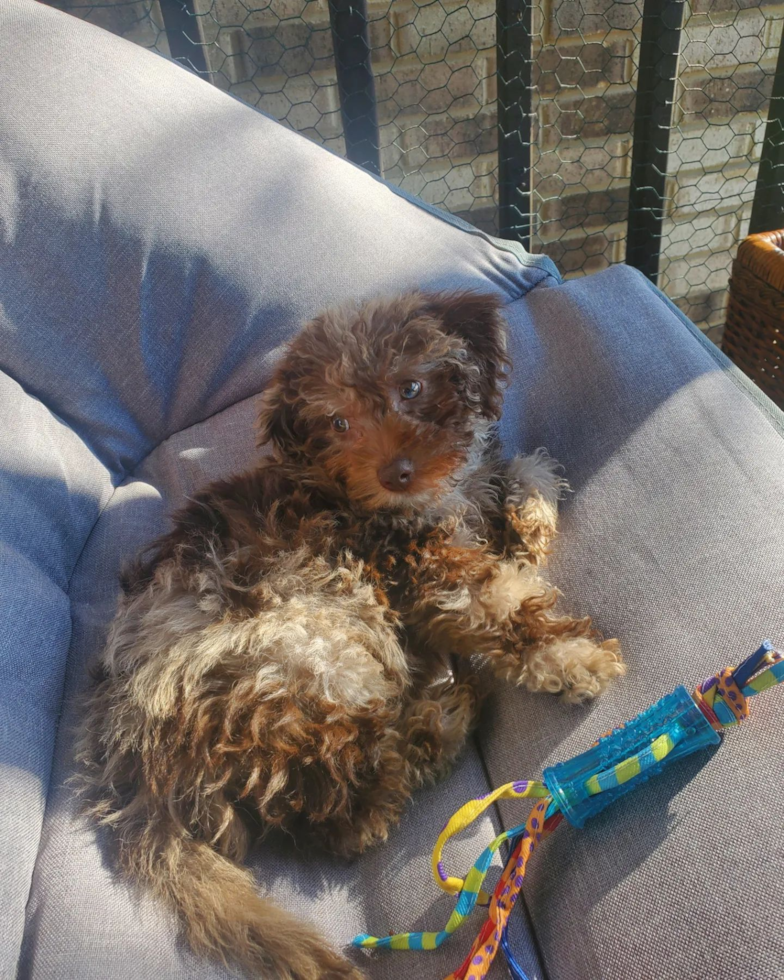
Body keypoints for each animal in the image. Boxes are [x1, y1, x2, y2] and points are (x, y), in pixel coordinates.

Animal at [75, 290, 624, 980]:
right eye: (337, 423)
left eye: (411, 387)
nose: (396, 473)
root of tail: (130, 762)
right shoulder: (422, 567)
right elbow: (500, 603)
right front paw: (573, 656)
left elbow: (526, 469)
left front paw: (530, 518)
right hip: (314, 645)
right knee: (351, 819)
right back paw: (442, 716)